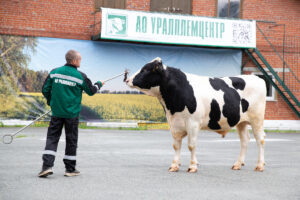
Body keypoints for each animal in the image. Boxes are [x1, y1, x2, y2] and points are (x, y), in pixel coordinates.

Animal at [125, 57, 266, 172]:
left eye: (145, 70)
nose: (127, 79)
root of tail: (256, 78)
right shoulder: (174, 124)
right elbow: (176, 145)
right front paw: (174, 165)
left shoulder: (193, 123)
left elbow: (191, 145)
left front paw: (192, 166)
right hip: (241, 122)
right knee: (245, 140)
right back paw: (237, 164)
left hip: (257, 119)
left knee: (260, 139)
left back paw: (259, 165)